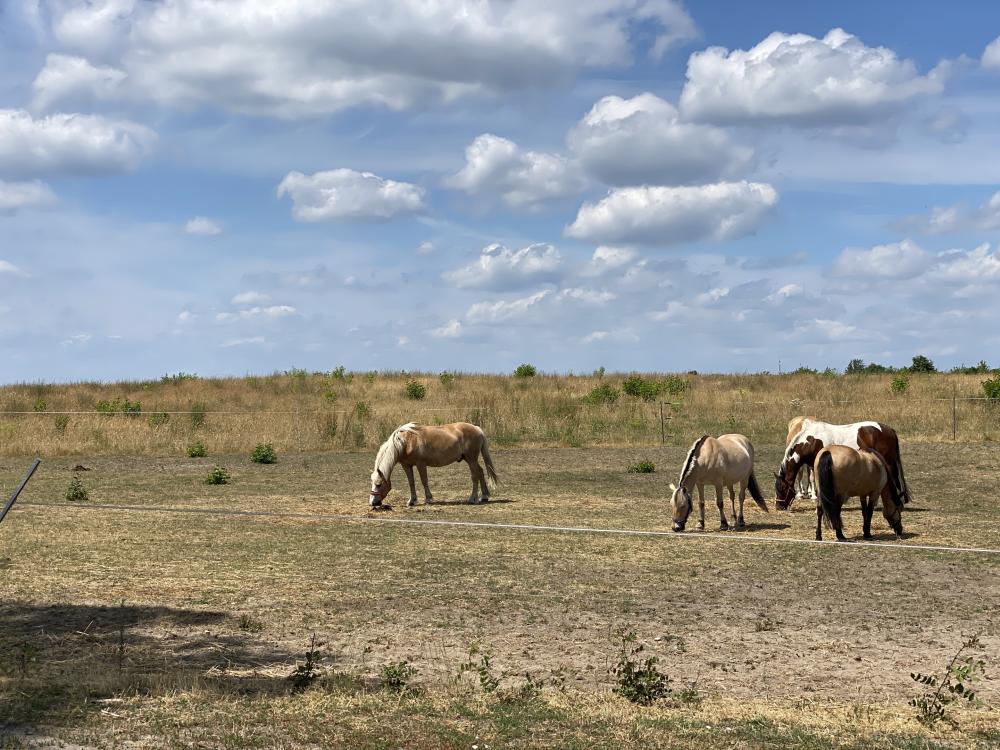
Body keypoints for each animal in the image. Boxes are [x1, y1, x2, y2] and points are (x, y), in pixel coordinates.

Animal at [369, 422, 498, 508]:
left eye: (379, 484)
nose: (372, 503)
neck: (406, 442)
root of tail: (476, 428)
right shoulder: (406, 465)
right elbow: (411, 482)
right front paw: (412, 501)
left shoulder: (421, 464)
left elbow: (424, 481)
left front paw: (429, 499)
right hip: (469, 459)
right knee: (480, 472)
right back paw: (484, 496)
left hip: (471, 459)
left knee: (475, 475)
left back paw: (473, 498)